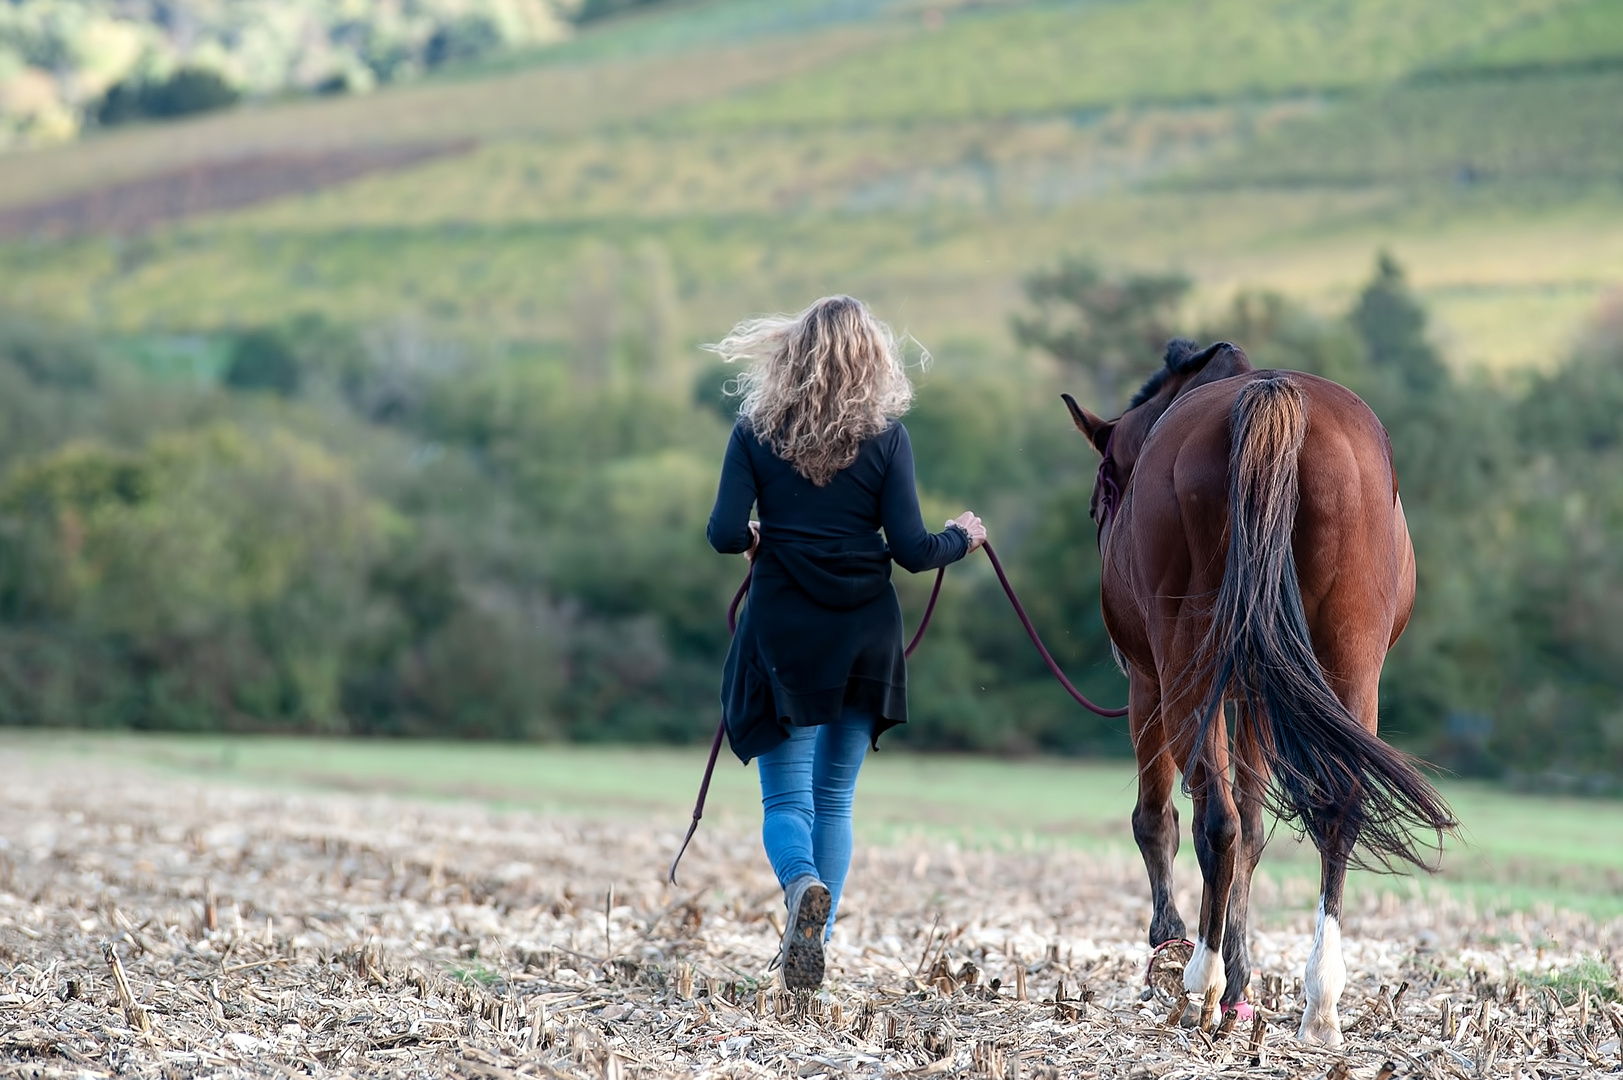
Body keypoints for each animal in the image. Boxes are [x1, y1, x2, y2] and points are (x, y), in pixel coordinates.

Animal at [1064, 339, 1460, 1045]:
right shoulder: (1256, 694)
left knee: (1212, 818)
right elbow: (1253, 828)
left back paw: (1200, 980)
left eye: (1104, 489)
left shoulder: (1148, 682)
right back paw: (1320, 1001)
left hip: (1186, 669)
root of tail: (1274, 398)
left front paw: (1173, 951)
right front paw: (1244, 985)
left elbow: (1159, 819)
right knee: (1336, 811)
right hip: (1348, 664)